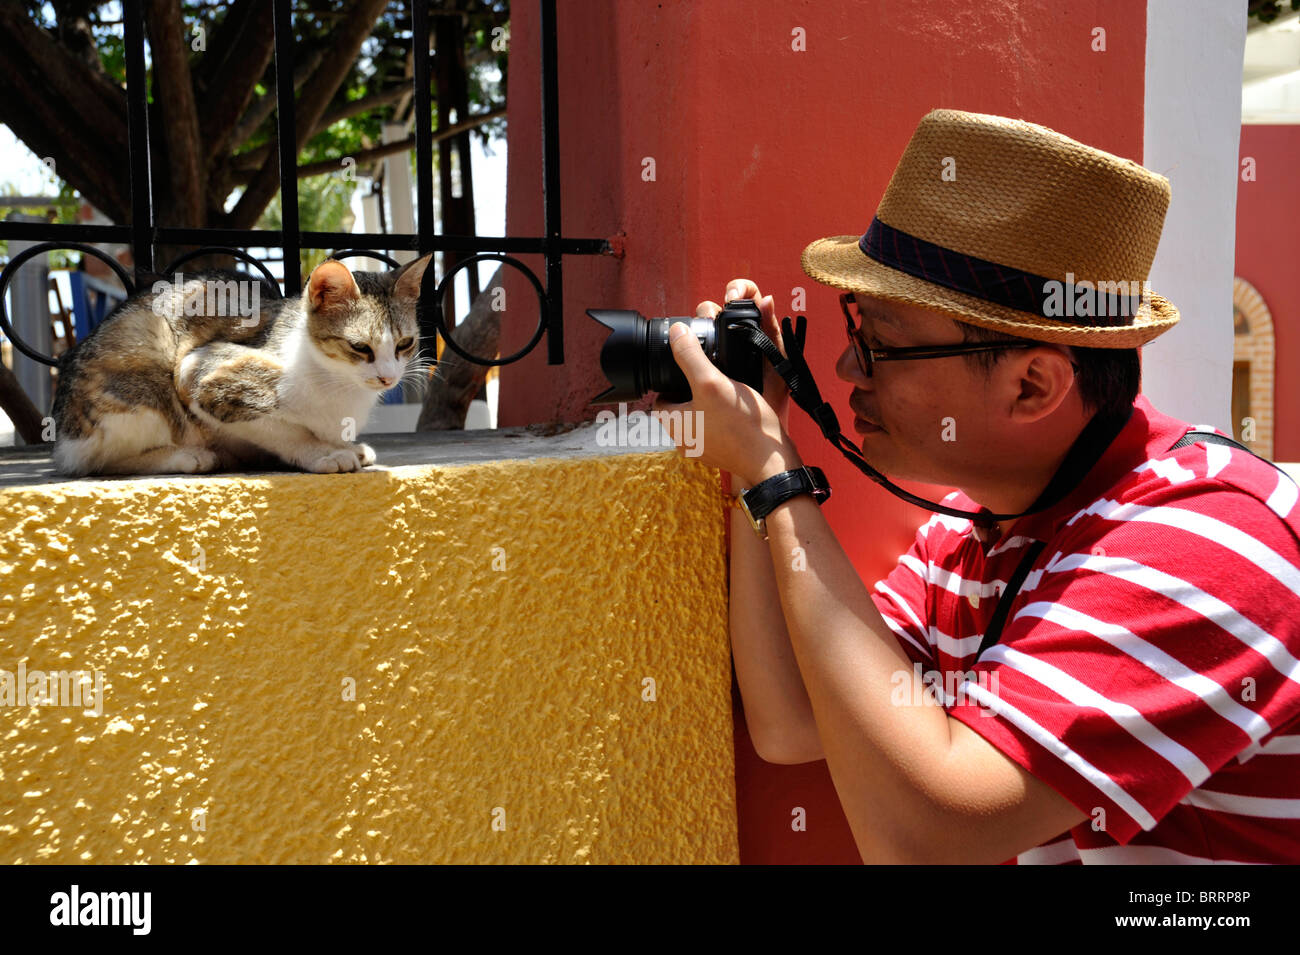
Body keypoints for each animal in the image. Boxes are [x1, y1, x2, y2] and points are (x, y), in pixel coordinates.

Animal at [50, 254, 431, 478]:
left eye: (405, 344)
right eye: (360, 347)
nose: (387, 378)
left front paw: (346, 446)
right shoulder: (198, 374)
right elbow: (282, 430)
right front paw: (322, 452)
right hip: (140, 378)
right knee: (95, 462)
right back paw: (188, 456)